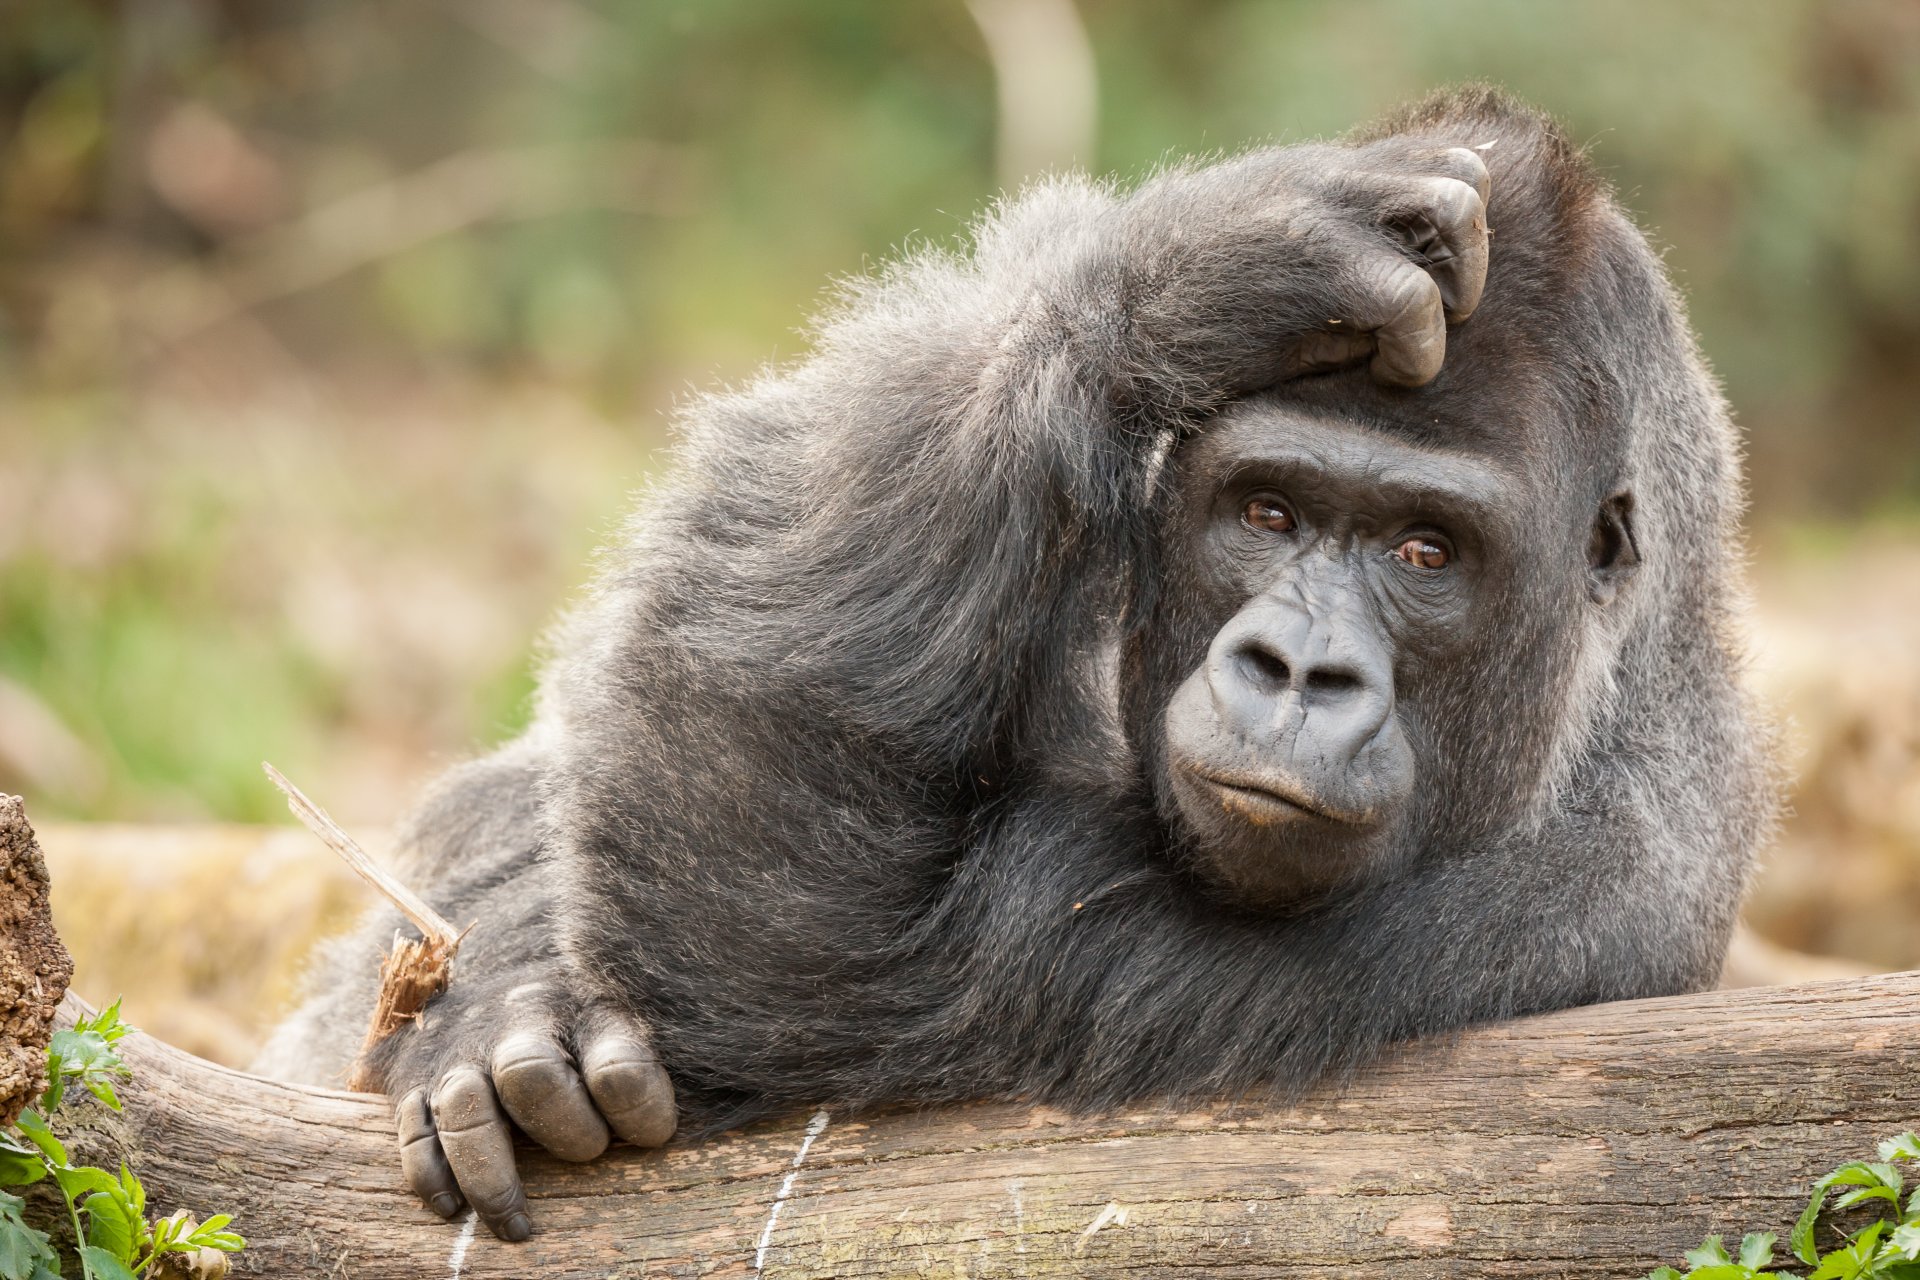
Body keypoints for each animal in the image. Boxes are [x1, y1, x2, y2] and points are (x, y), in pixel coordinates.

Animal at [256, 88, 1776, 1243]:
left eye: (1426, 551)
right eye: (1267, 513)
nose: (1295, 669)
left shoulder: (1584, 902)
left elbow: (791, 952)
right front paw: (1198, 272)